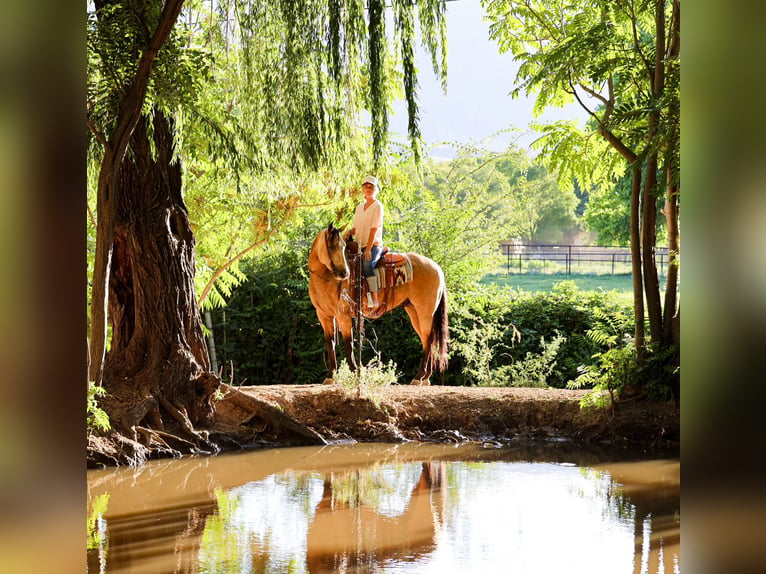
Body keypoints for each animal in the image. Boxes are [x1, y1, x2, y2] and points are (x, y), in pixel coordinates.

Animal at [308, 225, 450, 388]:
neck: (326, 278)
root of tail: (437, 268)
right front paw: (331, 376)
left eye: (343, 247)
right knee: (428, 341)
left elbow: (348, 343)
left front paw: (355, 374)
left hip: (425, 312)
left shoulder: (343, 315)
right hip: (414, 312)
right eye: (332, 246)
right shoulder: (324, 315)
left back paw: (418, 377)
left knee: (428, 339)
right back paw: (425, 378)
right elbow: (330, 343)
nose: (344, 273)